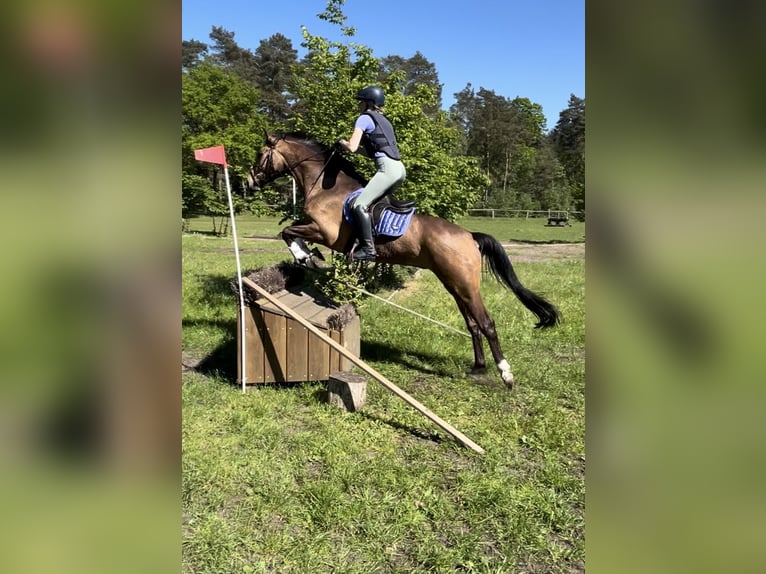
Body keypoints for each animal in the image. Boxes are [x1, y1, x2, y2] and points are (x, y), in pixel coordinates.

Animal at [249, 133, 560, 390]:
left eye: (261, 153)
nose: (249, 182)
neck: (327, 187)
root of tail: (469, 236)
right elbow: (289, 231)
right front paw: (309, 257)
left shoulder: (326, 233)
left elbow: (288, 231)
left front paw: (307, 257)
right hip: (454, 284)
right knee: (473, 324)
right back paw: (478, 367)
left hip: (465, 285)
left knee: (486, 323)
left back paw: (505, 374)